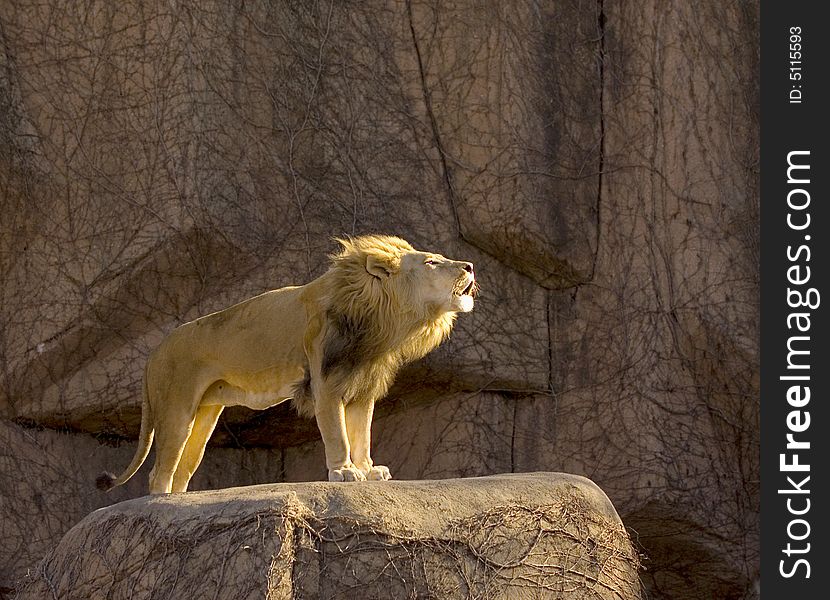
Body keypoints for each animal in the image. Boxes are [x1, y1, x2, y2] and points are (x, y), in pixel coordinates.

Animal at [95, 234, 478, 492]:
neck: (382, 320)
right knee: (159, 472)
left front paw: (369, 470)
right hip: (176, 411)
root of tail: (154, 353)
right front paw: (344, 472)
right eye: (432, 262)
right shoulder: (327, 384)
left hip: (204, 417)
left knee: (181, 471)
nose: (471, 266)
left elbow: (362, 434)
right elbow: (338, 434)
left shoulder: (361, 387)